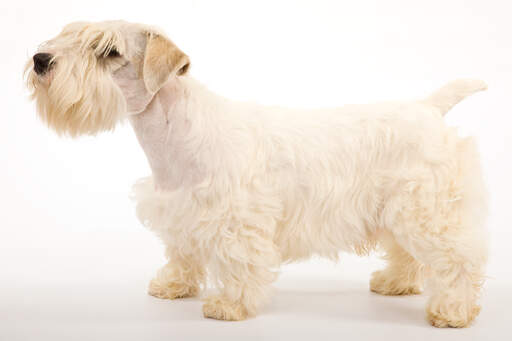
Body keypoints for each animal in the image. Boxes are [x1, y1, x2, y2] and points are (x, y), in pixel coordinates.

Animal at [24, 19, 488, 326]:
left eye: (108, 51)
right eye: (68, 33)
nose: (41, 59)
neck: (175, 133)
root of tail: (428, 107)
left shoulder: (235, 220)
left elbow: (239, 263)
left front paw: (229, 306)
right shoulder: (180, 211)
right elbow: (181, 253)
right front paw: (172, 286)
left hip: (426, 213)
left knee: (457, 259)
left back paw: (453, 311)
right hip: (399, 212)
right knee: (407, 254)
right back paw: (395, 282)